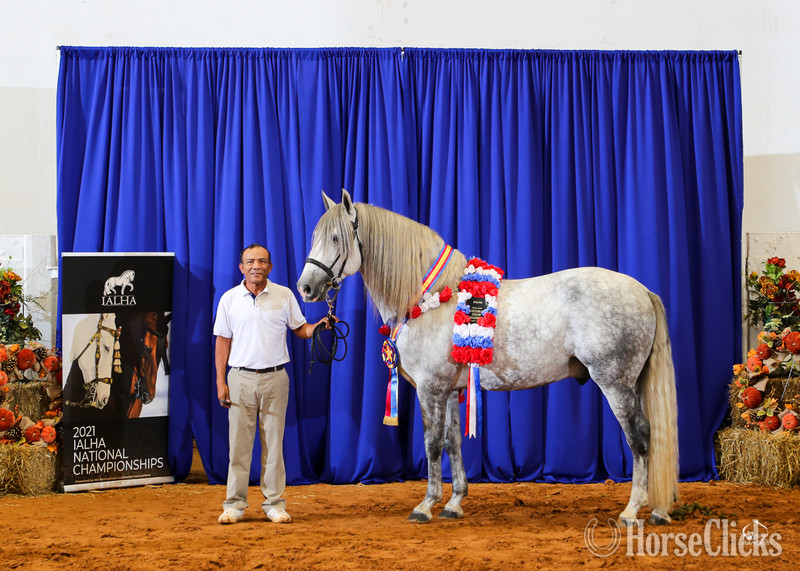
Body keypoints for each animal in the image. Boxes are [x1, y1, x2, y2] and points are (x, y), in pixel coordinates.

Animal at [297, 190, 679, 527]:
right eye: (316, 236)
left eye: (335, 238)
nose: (305, 287)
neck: (431, 297)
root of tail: (642, 291)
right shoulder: (451, 391)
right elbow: (452, 443)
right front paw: (453, 503)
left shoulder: (430, 389)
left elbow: (432, 444)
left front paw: (425, 506)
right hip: (631, 383)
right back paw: (658, 512)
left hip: (616, 383)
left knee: (640, 438)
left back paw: (631, 511)